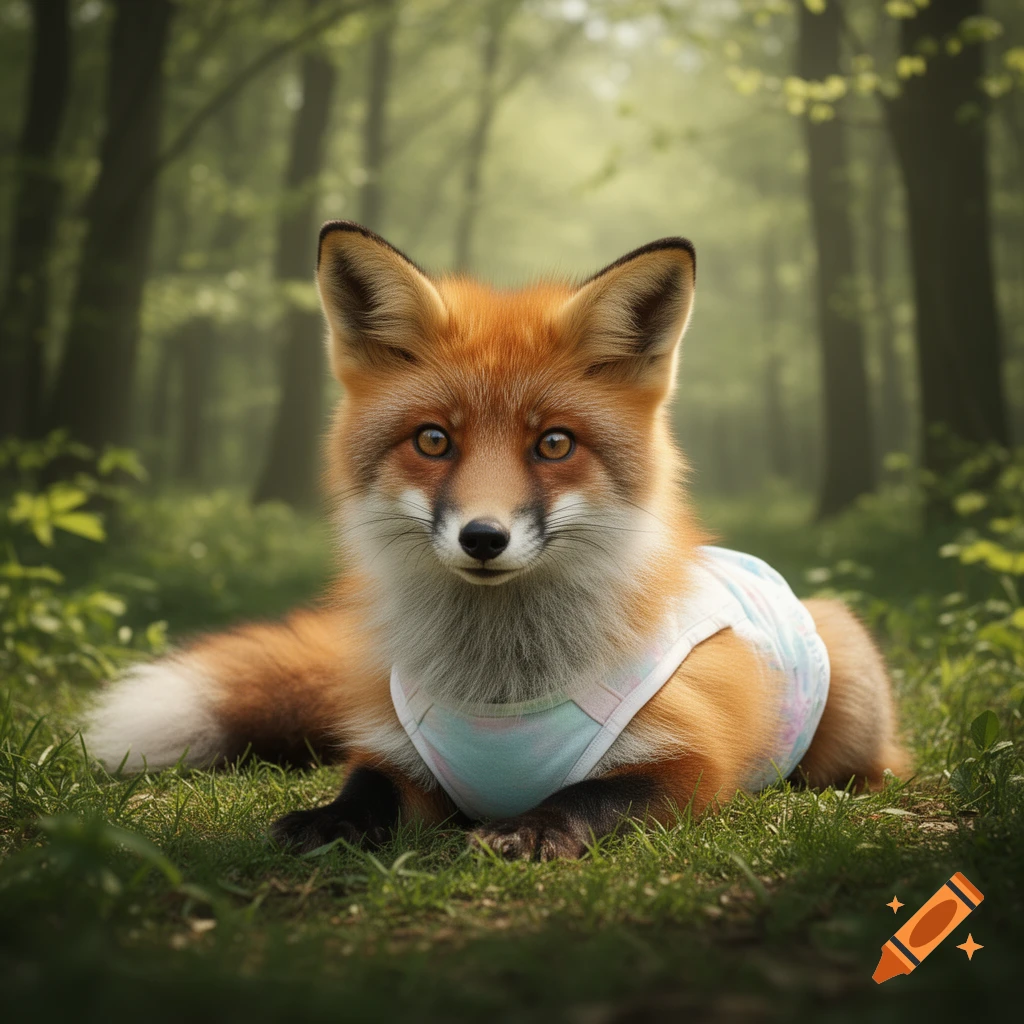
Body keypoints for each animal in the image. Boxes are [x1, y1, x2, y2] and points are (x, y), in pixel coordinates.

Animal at [84, 221, 908, 860]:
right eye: (433, 439)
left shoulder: (693, 764)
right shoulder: (399, 755)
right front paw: (328, 821)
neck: (499, 683)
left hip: (848, 690)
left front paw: (530, 829)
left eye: (553, 443)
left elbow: (591, 796)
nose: (484, 537)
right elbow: (365, 788)